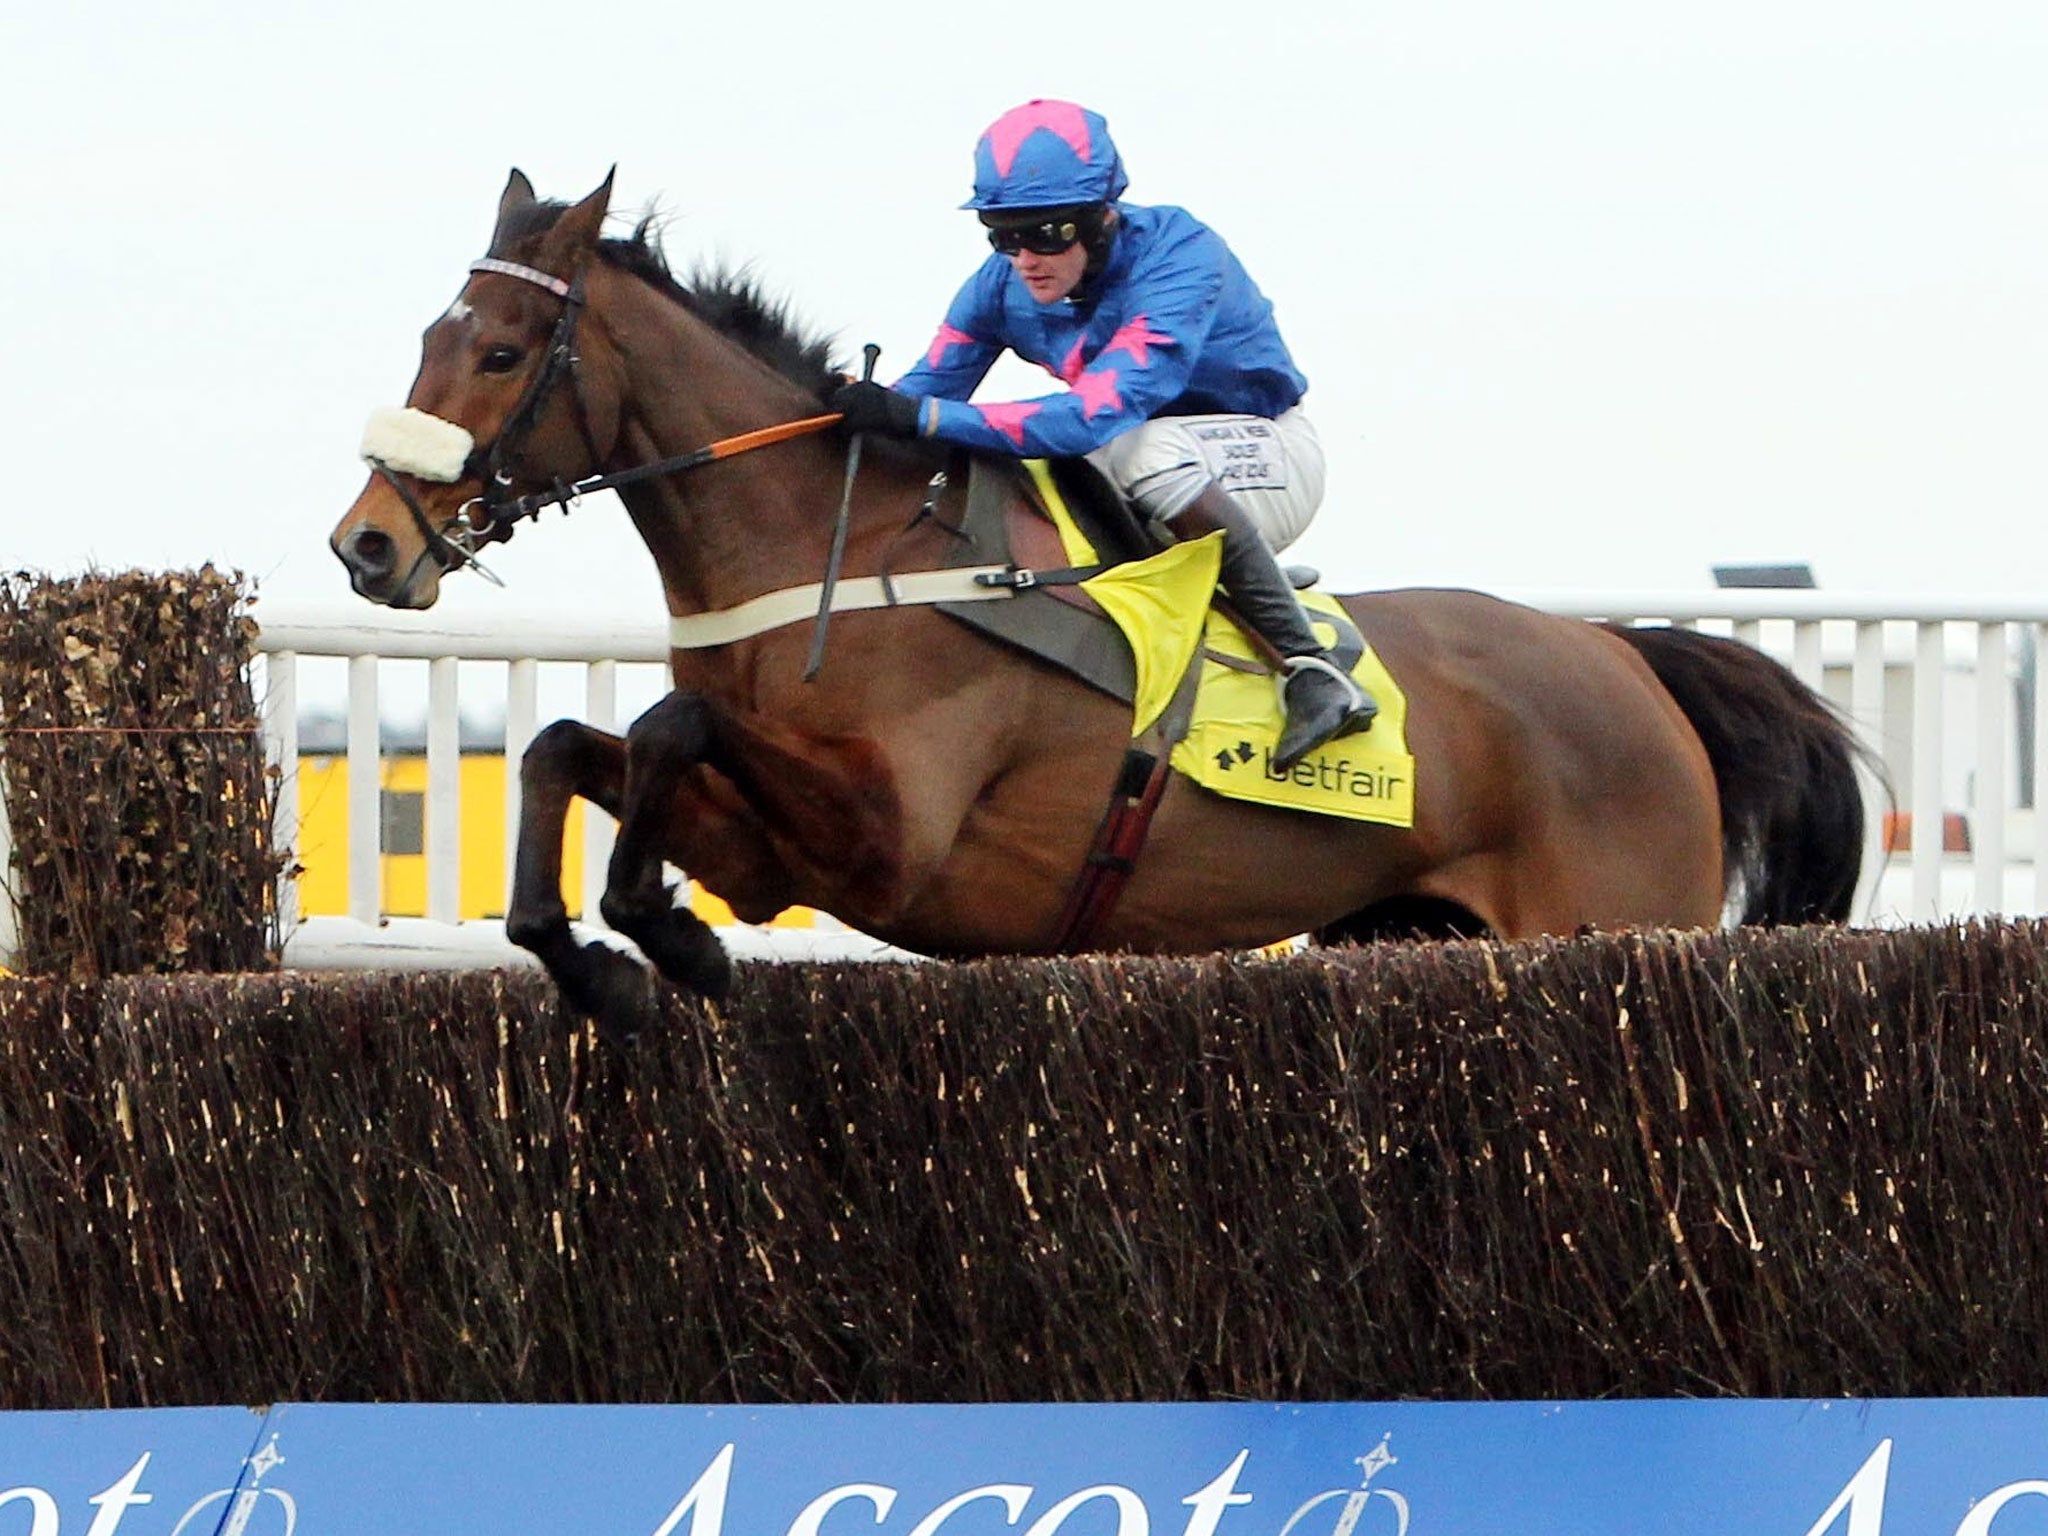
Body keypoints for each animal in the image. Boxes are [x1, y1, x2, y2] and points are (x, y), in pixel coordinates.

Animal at [327, 174, 1867, 1040]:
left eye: (503, 351)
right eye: (425, 339)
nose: (366, 544)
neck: (836, 546)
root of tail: (1624, 657)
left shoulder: (887, 842)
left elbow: (670, 725)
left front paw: (665, 935)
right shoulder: (777, 847)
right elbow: (568, 749)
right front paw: (602, 963)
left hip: (1612, 927)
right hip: (1408, 931)